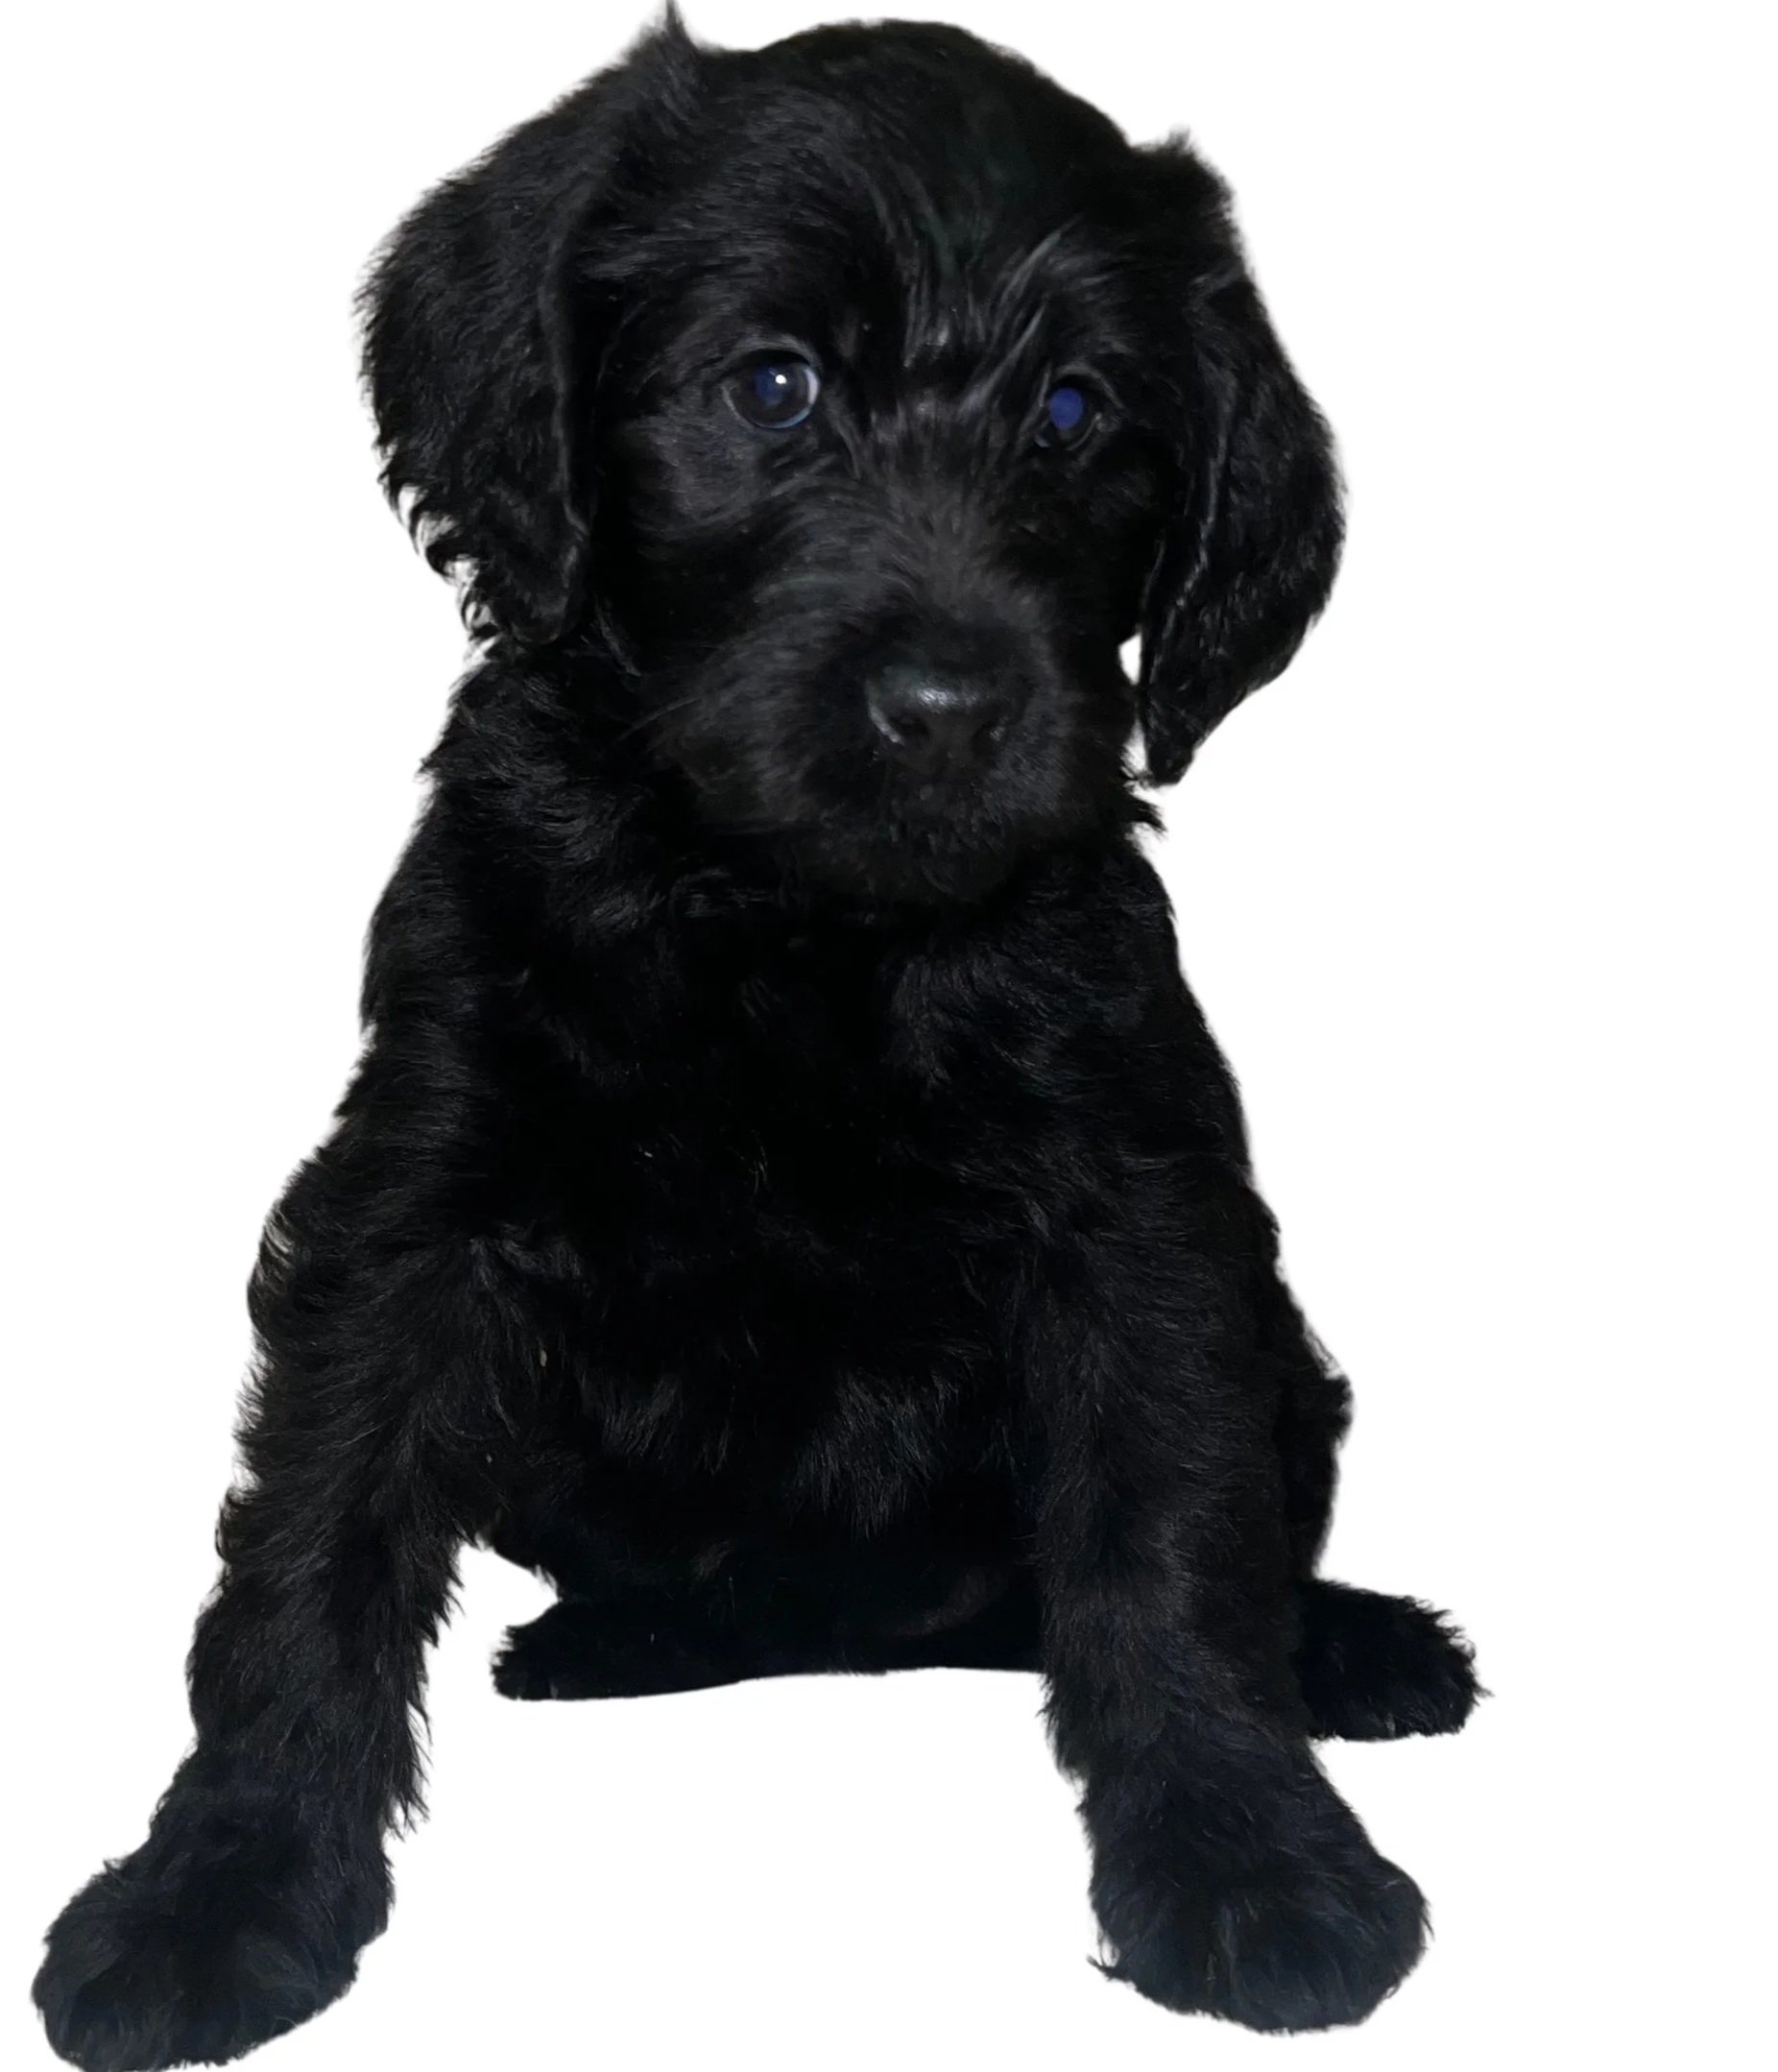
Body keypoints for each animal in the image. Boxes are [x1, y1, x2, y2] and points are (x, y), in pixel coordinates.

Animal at [33, 13, 1478, 2065]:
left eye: (1074, 415)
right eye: (772, 385)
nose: (948, 706)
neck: (789, 927)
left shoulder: (1140, 1219)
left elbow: (1175, 1546)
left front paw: (1249, 1857)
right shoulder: (411, 1206)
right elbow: (309, 1544)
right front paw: (218, 1887)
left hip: (1287, 1355)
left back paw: (1355, 1644)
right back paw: (618, 1638)